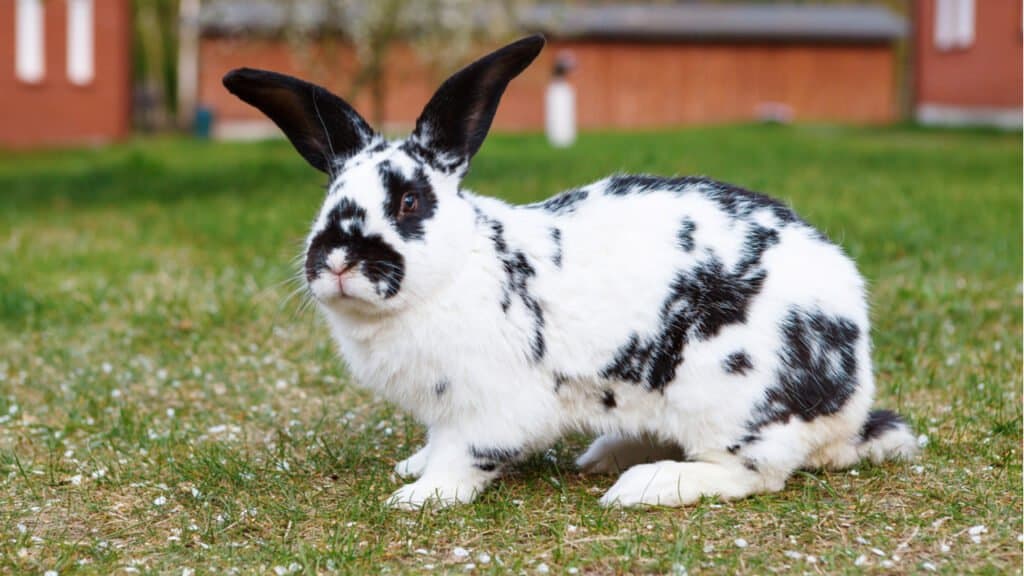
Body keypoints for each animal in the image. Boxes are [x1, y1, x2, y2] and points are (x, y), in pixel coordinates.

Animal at [226, 34, 921, 506]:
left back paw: (643, 484)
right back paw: (604, 455)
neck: (457, 271)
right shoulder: (442, 409)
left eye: (408, 202)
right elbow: (436, 442)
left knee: (753, 474)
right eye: (329, 199)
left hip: (727, 398)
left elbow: (465, 455)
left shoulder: (490, 407)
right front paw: (412, 469)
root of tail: (850, 401)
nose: (339, 260)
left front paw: (421, 495)